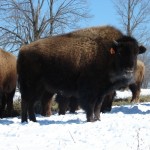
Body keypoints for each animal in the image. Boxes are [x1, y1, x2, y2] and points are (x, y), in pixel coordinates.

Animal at [17, 25, 146, 122]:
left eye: (136, 53)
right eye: (119, 52)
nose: (128, 69)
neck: (107, 53)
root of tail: (23, 50)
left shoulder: (101, 92)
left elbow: (97, 107)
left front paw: (98, 119)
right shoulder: (90, 91)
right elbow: (90, 106)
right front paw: (91, 120)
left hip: (39, 88)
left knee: (30, 103)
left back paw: (33, 120)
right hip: (31, 86)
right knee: (26, 102)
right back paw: (25, 121)